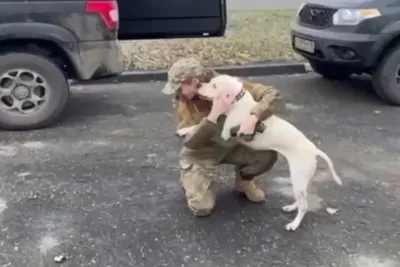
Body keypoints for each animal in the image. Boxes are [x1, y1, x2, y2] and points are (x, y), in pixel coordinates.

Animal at [178, 74, 344, 231]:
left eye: (214, 85)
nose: (199, 85)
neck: (237, 102)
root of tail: (314, 149)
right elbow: (200, 125)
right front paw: (184, 130)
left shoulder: (226, 133)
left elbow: (216, 127)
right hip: (303, 180)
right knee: (303, 199)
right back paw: (291, 208)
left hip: (298, 177)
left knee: (304, 206)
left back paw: (294, 225)